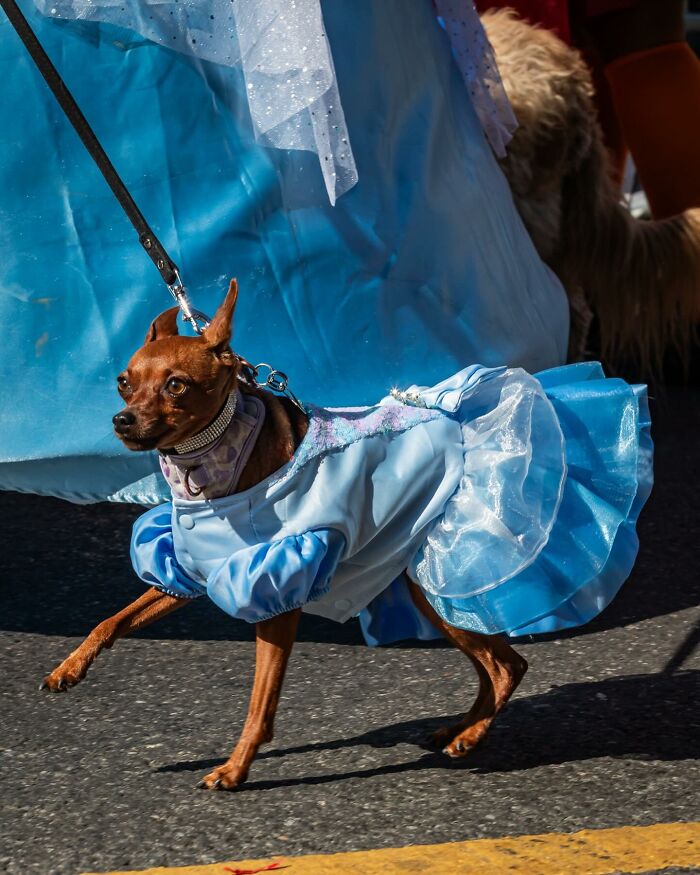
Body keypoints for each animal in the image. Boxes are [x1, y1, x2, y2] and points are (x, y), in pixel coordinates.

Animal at [41, 282, 524, 792]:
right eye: (123, 381)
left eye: (176, 385)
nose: (123, 420)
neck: (218, 467)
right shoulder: (187, 577)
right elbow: (111, 622)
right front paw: (69, 667)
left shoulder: (276, 596)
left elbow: (260, 701)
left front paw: (235, 768)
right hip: (430, 594)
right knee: (495, 665)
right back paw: (461, 727)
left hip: (432, 588)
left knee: (507, 666)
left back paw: (471, 734)